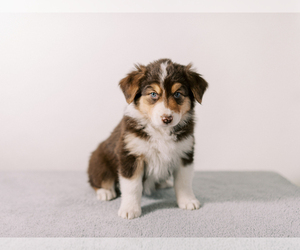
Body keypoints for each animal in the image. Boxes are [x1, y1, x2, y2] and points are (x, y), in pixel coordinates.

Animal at [88, 58, 207, 219]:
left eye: (177, 94)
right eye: (153, 94)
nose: (167, 118)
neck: (161, 131)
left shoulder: (185, 153)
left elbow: (184, 182)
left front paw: (188, 201)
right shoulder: (130, 155)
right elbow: (132, 186)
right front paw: (130, 210)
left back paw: (164, 183)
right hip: (99, 161)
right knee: (98, 179)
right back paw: (105, 192)